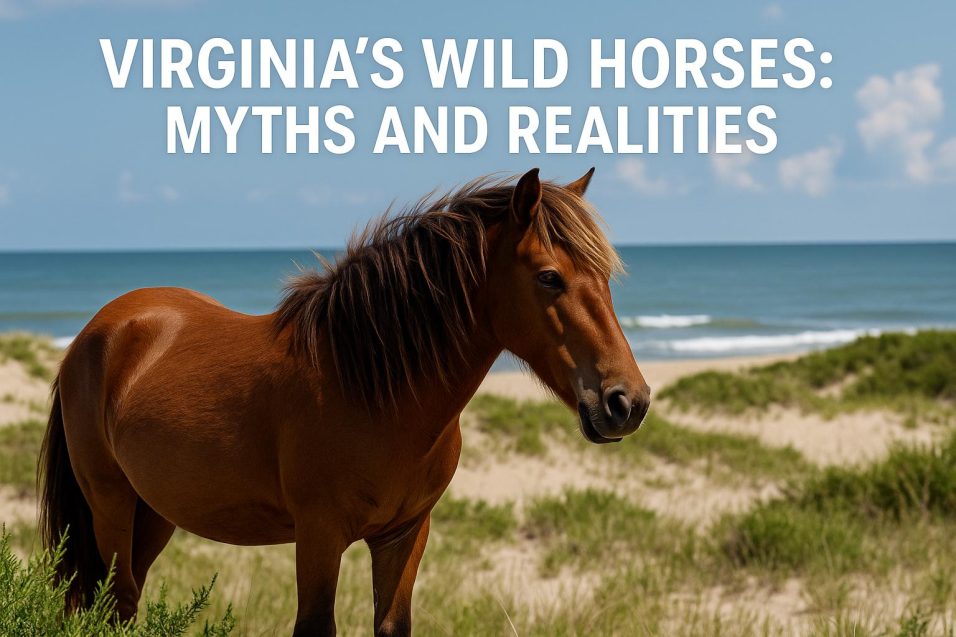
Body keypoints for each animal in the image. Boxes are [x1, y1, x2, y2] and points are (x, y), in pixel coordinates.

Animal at [38, 168, 651, 636]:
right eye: (549, 278)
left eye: (606, 276)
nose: (628, 402)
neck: (373, 391)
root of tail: (99, 330)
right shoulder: (319, 535)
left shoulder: (405, 536)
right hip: (110, 504)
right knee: (116, 600)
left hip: (155, 514)